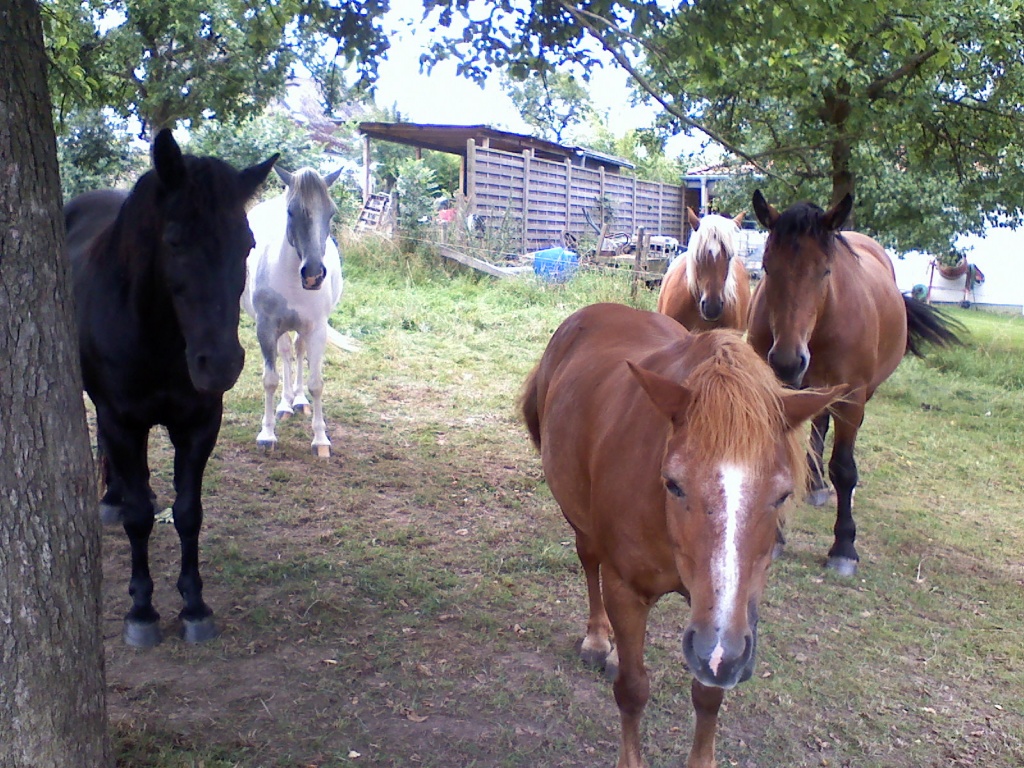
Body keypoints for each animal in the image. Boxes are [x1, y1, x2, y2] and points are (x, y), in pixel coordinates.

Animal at [65, 129, 277, 647]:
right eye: (175, 241)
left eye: (247, 243)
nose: (220, 364)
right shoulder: (123, 421)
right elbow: (141, 518)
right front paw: (141, 611)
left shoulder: (199, 425)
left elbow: (188, 513)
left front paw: (194, 605)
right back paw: (112, 499)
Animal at [241, 166, 343, 457]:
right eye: (291, 211)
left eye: (330, 212)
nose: (313, 275)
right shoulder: (265, 328)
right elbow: (270, 379)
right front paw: (267, 434)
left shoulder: (317, 329)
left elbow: (316, 383)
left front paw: (320, 439)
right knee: (286, 353)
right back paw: (286, 404)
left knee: (297, 352)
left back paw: (297, 400)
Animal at [521, 303, 841, 768]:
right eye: (672, 484)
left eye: (782, 495)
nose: (722, 654)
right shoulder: (626, 590)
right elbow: (633, 690)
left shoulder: (726, 616)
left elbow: (708, 696)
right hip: (579, 519)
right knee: (588, 560)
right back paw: (599, 639)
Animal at [747, 190, 962, 576]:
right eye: (768, 267)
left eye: (825, 271)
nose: (787, 362)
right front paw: (774, 537)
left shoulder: (850, 397)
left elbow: (845, 470)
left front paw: (844, 547)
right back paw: (815, 483)